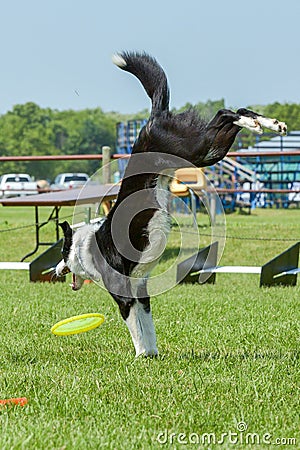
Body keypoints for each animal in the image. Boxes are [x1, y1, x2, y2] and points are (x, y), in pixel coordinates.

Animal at [55, 51, 288, 356]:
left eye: (61, 251)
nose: (55, 272)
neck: (87, 246)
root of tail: (153, 118)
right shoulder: (140, 292)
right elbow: (147, 325)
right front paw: (153, 355)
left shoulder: (123, 295)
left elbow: (136, 329)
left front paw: (141, 356)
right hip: (207, 151)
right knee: (229, 114)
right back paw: (270, 124)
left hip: (193, 147)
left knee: (225, 113)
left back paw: (256, 124)